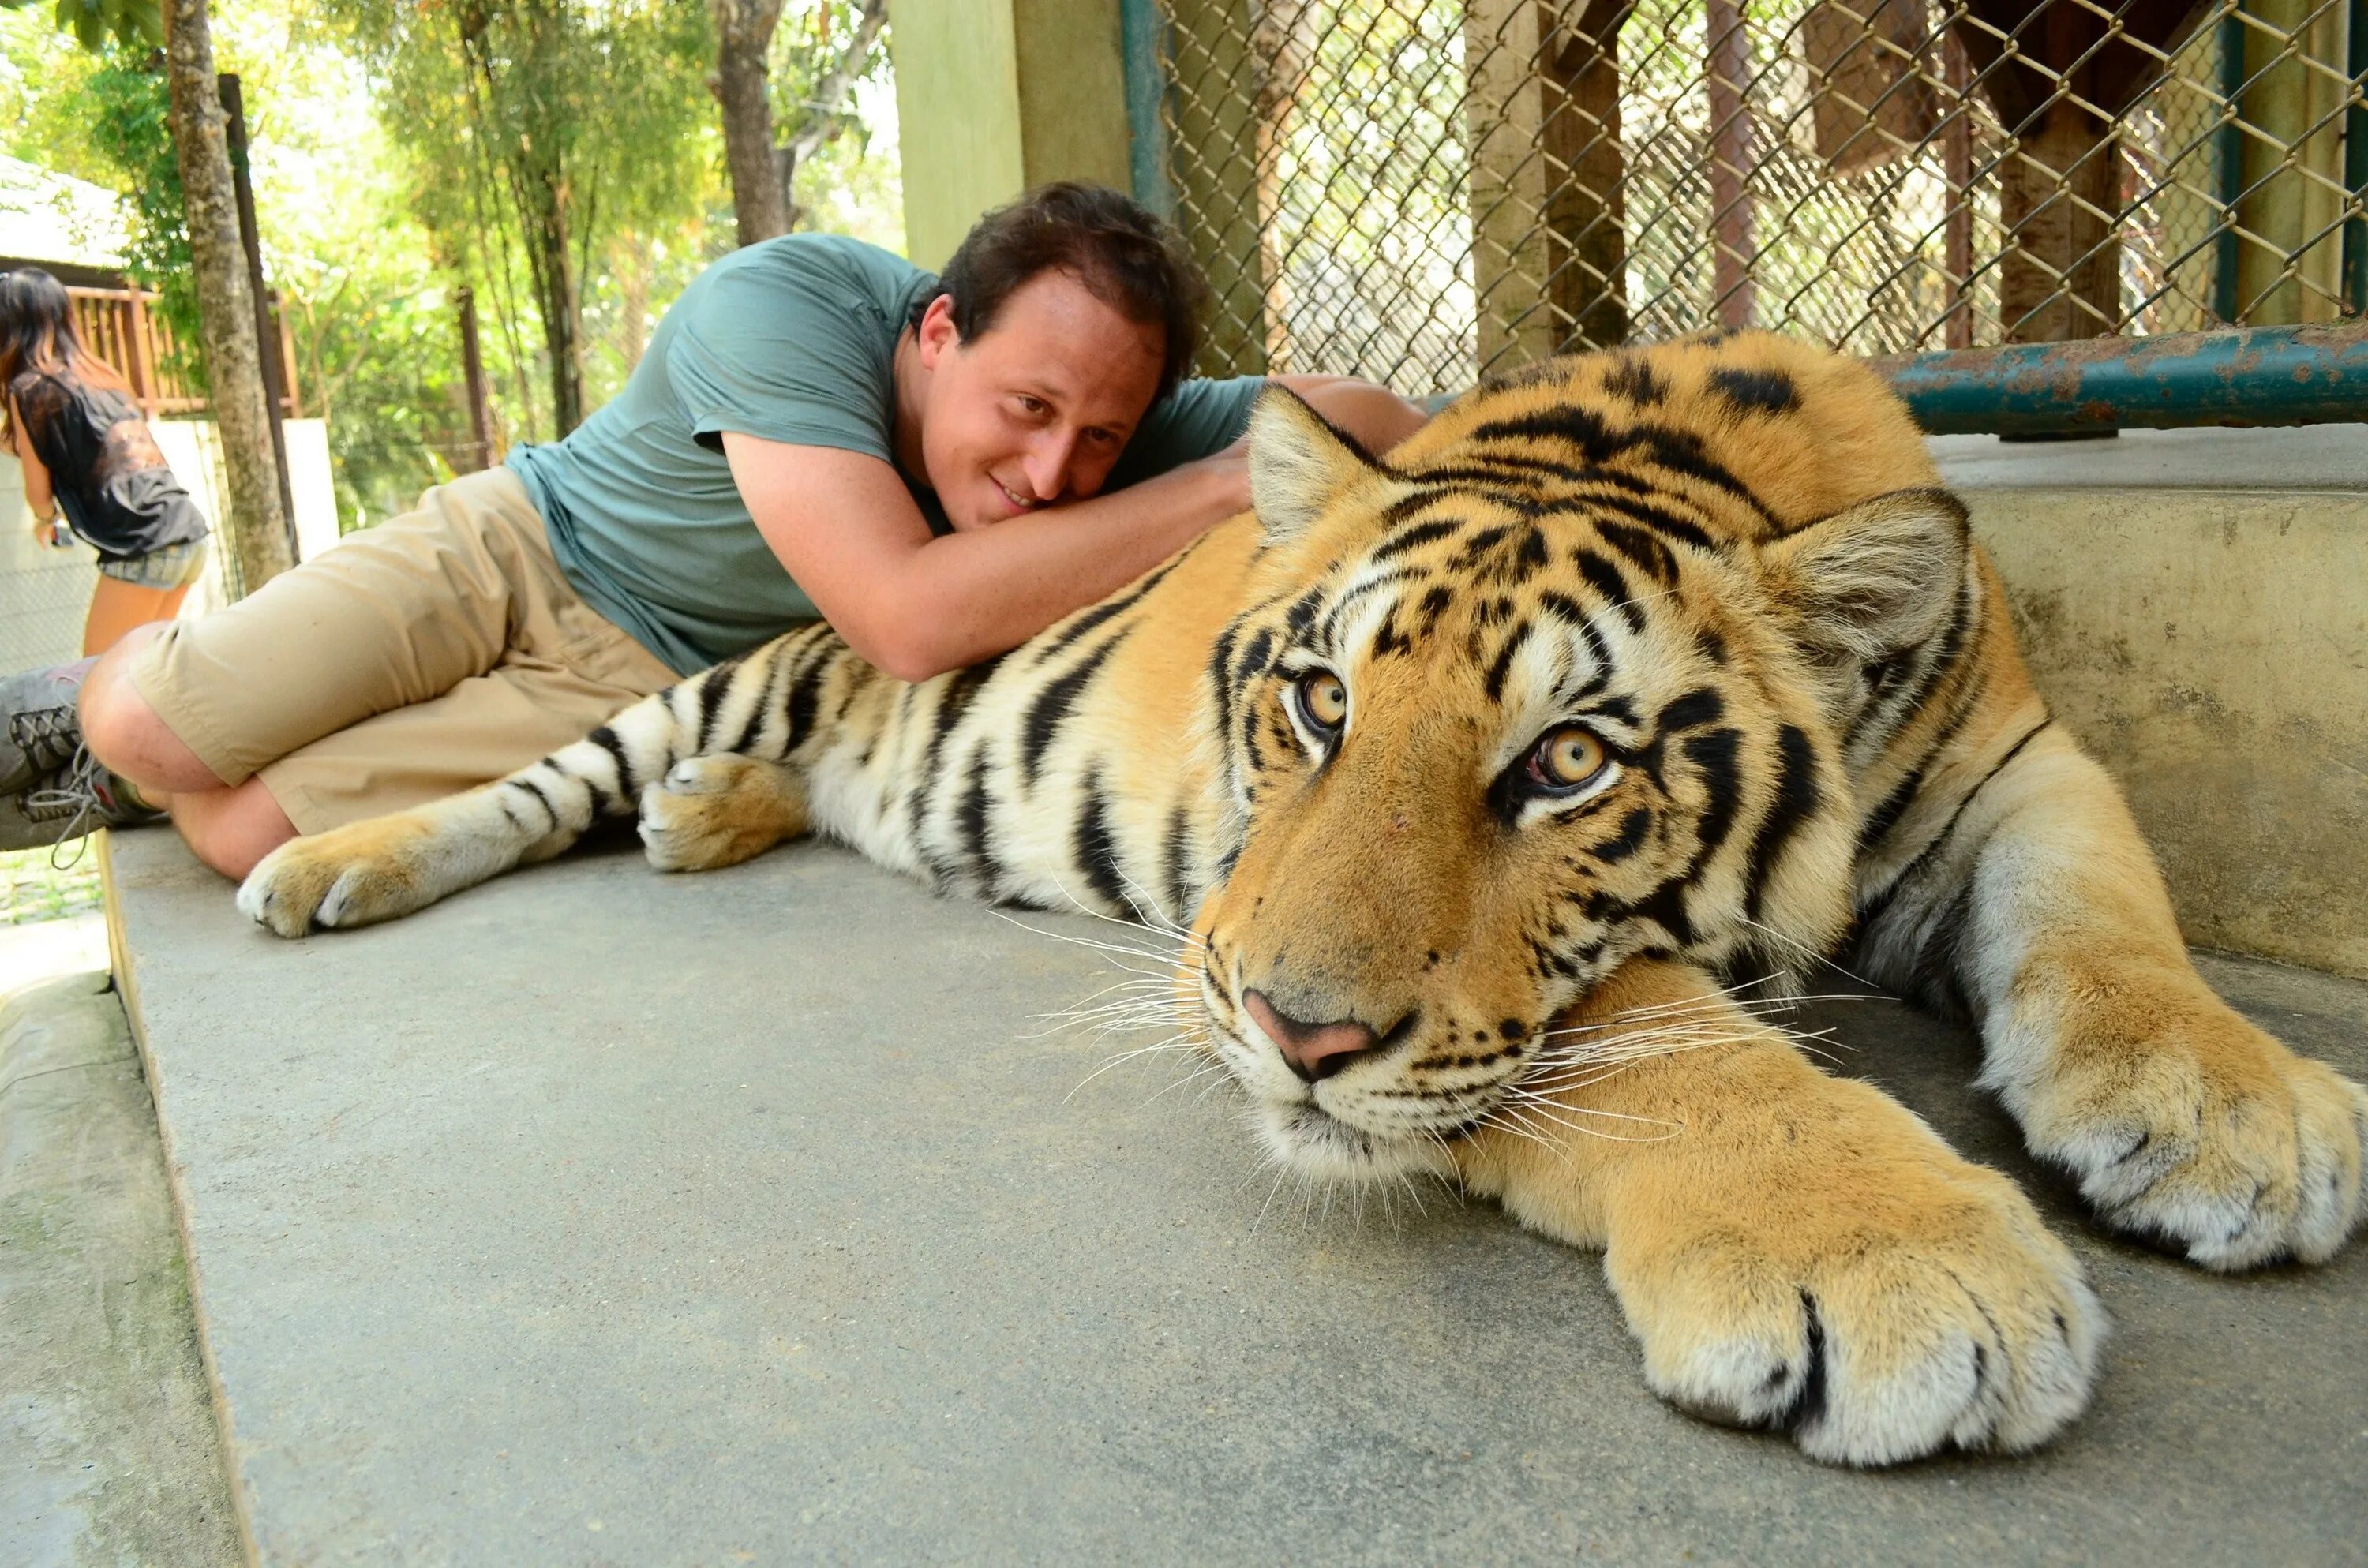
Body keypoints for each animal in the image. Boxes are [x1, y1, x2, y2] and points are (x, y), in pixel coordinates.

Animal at [226, 331, 2368, 1477]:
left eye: (1568, 764)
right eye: (1318, 701)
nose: (1285, 1027)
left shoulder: (2019, 758)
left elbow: (2108, 906)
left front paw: (2232, 1110)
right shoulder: (1253, 931)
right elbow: (1655, 1017)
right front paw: (1903, 1256)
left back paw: (705, 826)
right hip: (730, 675)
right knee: (526, 786)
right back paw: (322, 871)